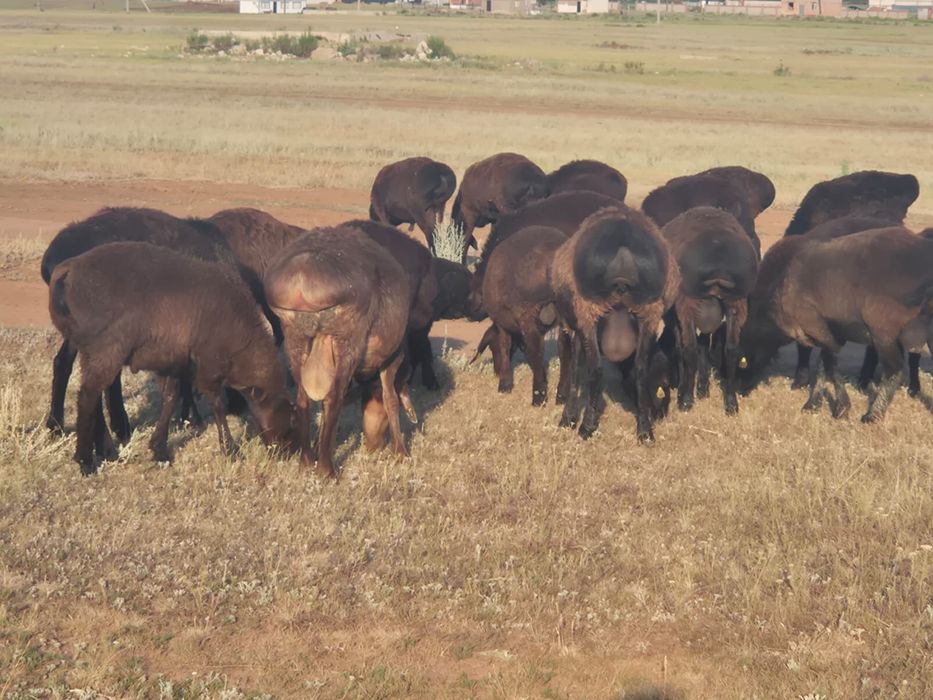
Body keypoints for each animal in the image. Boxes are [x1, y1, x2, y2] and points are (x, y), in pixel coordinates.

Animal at [48, 242, 297, 474]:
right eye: (285, 417)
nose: (285, 454)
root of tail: (68, 269)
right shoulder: (209, 365)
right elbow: (217, 404)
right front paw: (230, 449)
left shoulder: (174, 361)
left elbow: (170, 397)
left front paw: (159, 448)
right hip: (106, 349)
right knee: (87, 397)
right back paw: (85, 460)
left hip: (89, 348)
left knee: (93, 398)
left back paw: (106, 450)